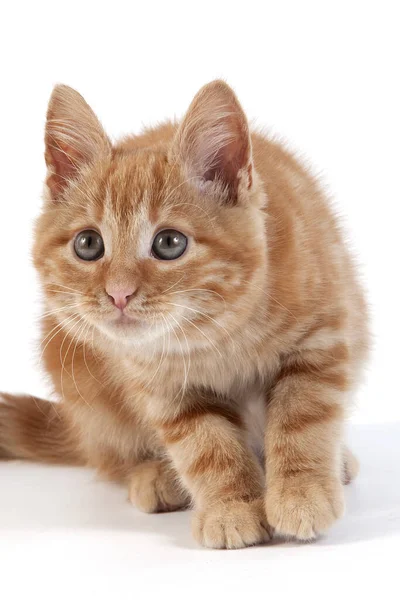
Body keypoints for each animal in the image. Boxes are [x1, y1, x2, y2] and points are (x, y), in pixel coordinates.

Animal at [0, 81, 368, 548]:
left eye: (169, 243)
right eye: (88, 244)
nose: (119, 293)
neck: (218, 333)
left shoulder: (321, 336)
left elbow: (303, 416)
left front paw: (302, 493)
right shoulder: (162, 385)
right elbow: (205, 443)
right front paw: (232, 507)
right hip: (82, 390)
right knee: (109, 456)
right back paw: (154, 475)